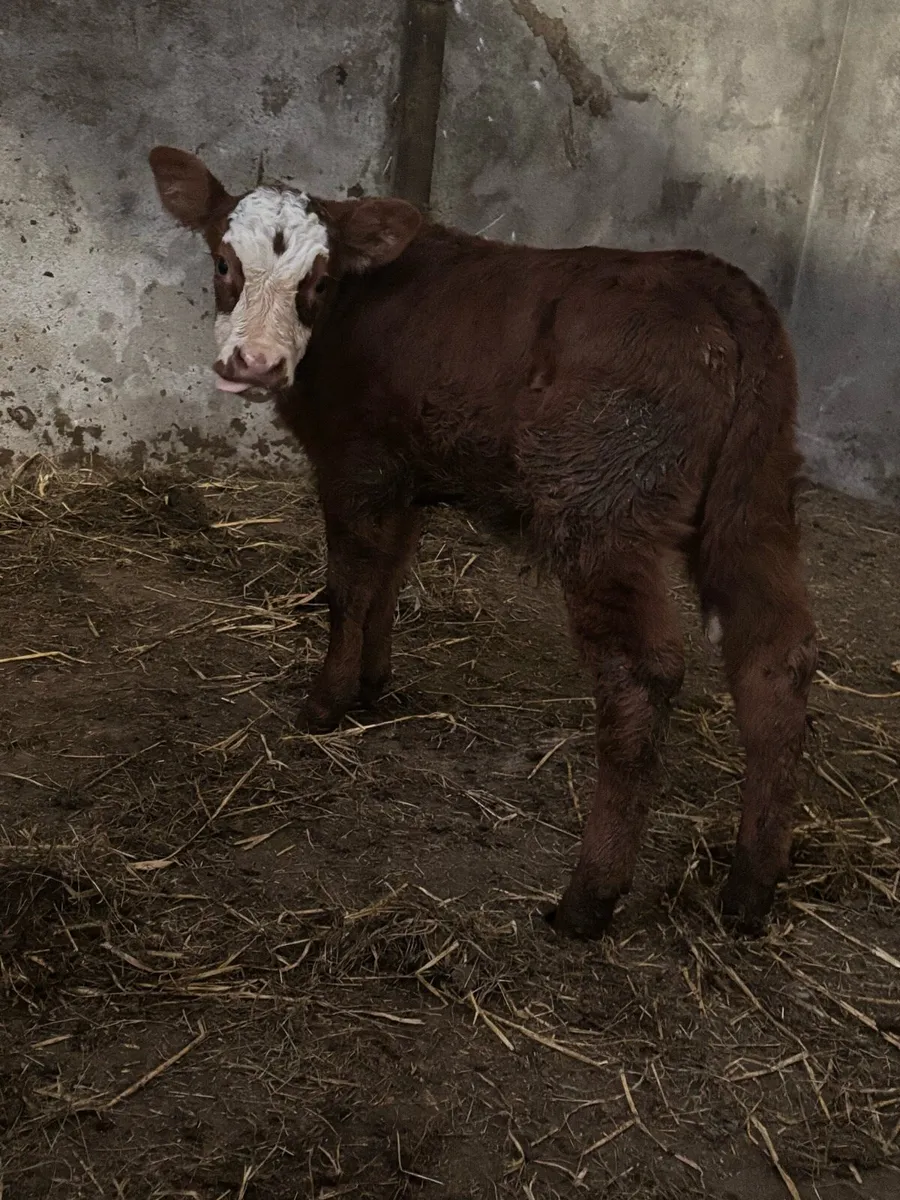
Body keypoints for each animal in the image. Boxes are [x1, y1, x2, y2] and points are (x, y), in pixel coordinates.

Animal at [148, 146, 818, 940]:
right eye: (223, 262)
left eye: (318, 280)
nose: (252, 363)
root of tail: (708, 277)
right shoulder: (406, 474)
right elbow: (389, 581)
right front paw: (372, 684)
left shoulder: (356, 463)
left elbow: (349, 586)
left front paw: (325, 703)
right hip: (757, 499)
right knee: (774, 653)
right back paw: (750, 888)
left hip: (601, 509)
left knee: (641, 673)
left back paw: (588, 899)